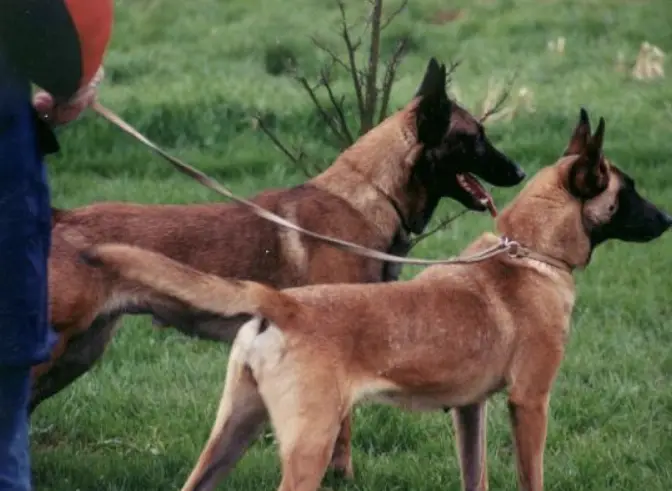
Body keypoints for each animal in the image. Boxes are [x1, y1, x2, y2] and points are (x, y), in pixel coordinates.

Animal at [38, 56, 524, 476]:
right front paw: (340, 477)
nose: (520, 172)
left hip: (79, 354)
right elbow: (343, 430)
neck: (371, 198)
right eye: (475, 136)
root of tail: (60, 217)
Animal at [80, 108, 672, 491]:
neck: (527, 251)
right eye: (629, 190)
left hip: (232, 433)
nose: (668, 219)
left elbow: (474, 475)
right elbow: (532, 476)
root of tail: (282, 304)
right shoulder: (529, 403)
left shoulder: (470, 410)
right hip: (309, 446)